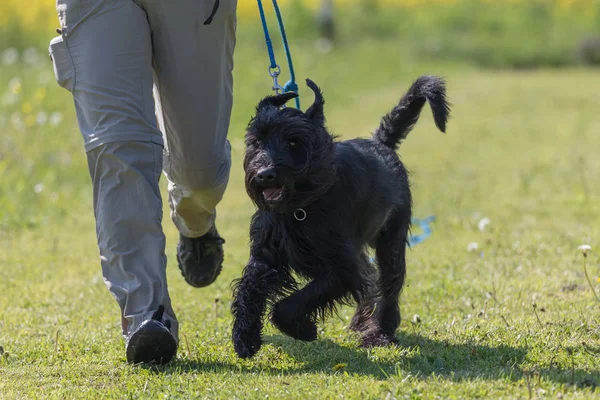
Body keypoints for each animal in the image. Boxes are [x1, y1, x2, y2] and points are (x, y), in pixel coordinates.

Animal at [230, 76, 450, 358]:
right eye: (257, 140)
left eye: (293, 142)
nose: (264, 174)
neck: (301, 205)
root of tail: (381, 142)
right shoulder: (266, 255)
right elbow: (249, 289)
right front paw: (245, 337)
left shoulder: (341, 267)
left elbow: (296, 301)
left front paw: (302, 329)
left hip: (391, 241)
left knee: (389, 285)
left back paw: (379, 333)